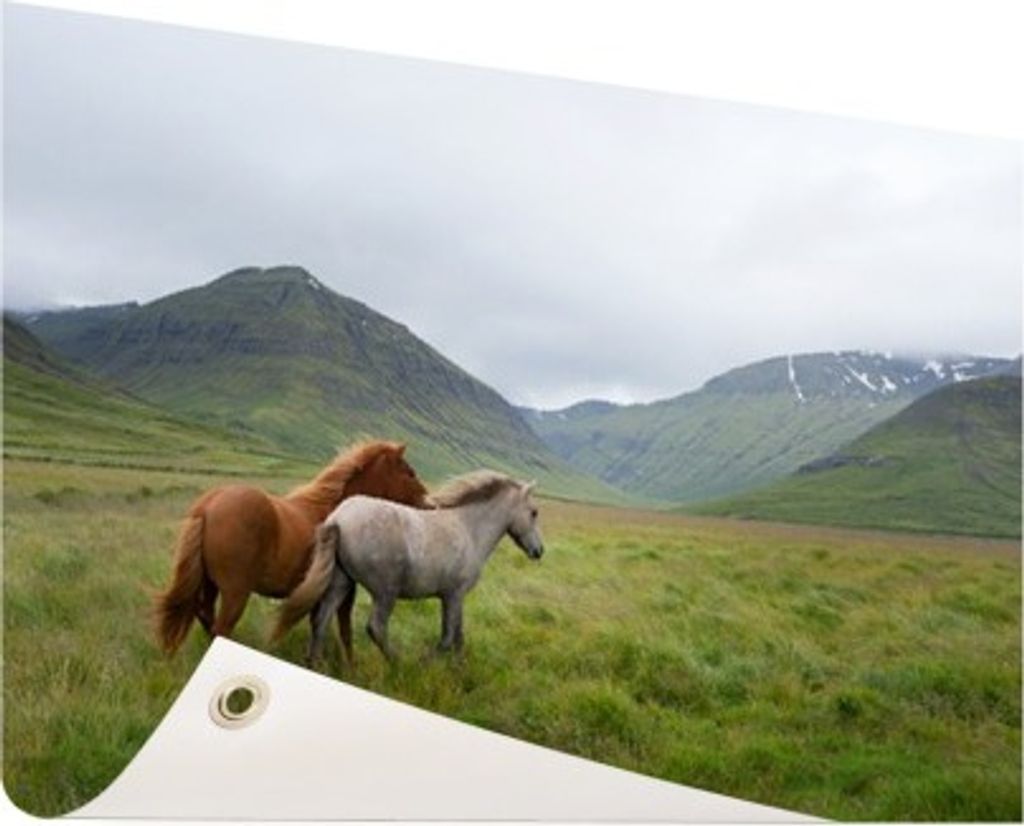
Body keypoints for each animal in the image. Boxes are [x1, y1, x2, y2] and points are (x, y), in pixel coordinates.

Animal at [153, 439, 429, 655]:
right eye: (410, 473)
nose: (429, 504)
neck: (334, 509)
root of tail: (208, 505)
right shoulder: (345, 591)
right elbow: (344, 631)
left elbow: (320, 627)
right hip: (235, 593)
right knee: (220, 628)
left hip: (210, 586)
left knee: (206, 618)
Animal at [273, 470, 544, 664]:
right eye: (533, 512)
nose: (538, 551)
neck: (468, 528)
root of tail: (338, 519)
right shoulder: (453, 595)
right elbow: (448, 638)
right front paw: (427, 664)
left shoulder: (453, 598)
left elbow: (458, 635)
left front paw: (459, 669)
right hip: (385, 592)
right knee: (376, 627)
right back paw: (398, 663)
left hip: (341, 582)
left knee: (321, 620)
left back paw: (316, 663)